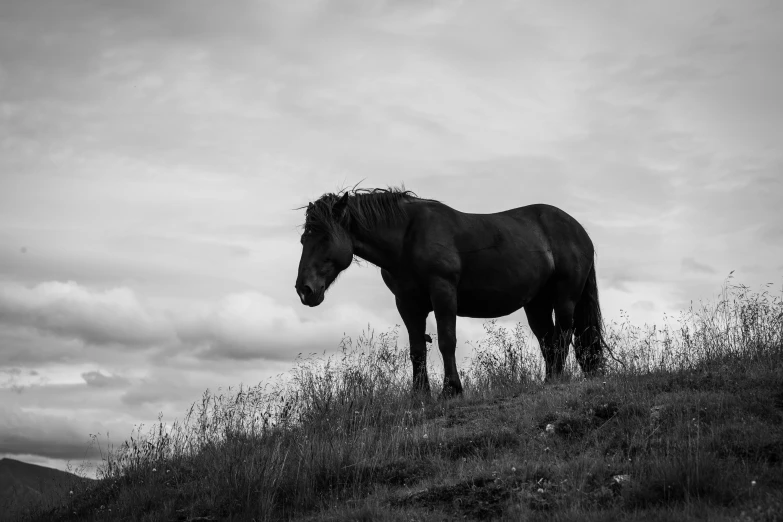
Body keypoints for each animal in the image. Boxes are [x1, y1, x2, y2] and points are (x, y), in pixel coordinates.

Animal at [294, 187, 608, 394]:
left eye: (325, 237)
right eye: (303, 239)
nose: (304, 290)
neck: (407, 237)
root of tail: (579, 231)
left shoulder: (443, 293)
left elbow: (446, 341)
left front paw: (452, 389)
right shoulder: (407, 303)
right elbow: (417, 349)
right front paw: (420, 395)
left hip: (565, 298)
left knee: (563, 336)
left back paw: (559, 379)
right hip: (536, 303)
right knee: (548, 340)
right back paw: (550, 380)